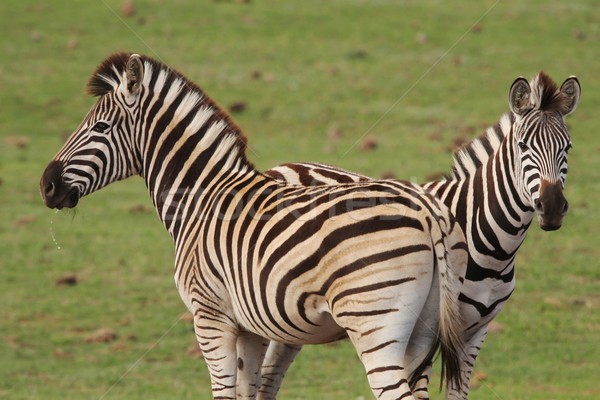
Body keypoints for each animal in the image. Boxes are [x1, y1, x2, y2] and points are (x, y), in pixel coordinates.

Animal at [39, 51, 468, 398]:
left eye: (100, 129)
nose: (47, 185)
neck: (202, 198)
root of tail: (426, 211)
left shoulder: (209, 316)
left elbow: (223, 392)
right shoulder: (250, 327)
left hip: (374, 324)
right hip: (424, 330)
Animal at [262, 70, 580, 398]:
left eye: (568, 147)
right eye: (522, 146)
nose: (551, 207)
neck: (493, 251)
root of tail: (283, 166)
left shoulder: (475, 332)